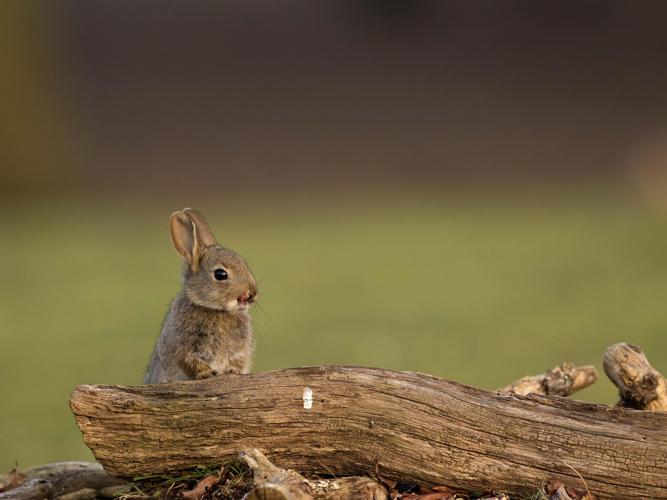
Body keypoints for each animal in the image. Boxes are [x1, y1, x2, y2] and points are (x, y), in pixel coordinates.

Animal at [144, 207, 258, 382]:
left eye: (243, 263)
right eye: (220, 274)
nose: (252, 293)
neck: (215, 310)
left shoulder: (241, 349)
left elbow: (238, 360)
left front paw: (233, 371)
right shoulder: (182, 347)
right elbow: (191, 362)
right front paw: (207, 373)